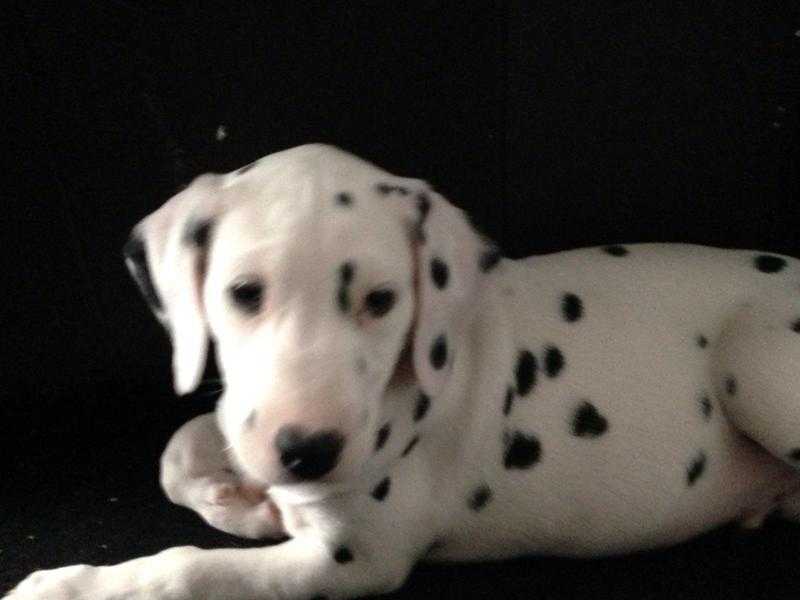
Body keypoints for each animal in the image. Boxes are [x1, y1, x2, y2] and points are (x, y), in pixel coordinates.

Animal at [7, 143, 800, 596]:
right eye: (243, 293)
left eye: (380, 301)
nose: (306, 452)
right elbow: (181, 447)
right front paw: (239, 499)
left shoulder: (349, 558)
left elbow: (186, 569)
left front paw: (64, 588)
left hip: (753, 362)